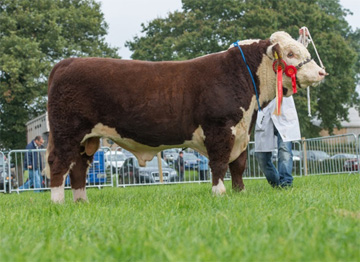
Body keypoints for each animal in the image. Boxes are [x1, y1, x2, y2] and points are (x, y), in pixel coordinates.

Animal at [45, 30, 326, 203]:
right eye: (290, 54)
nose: (321, 72)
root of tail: (67, 62)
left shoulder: (242, 133)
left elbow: (238, 165)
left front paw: (240, 192)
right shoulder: (220, 129)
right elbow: (219, 163)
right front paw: (219, 193)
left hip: (87, 139)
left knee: (79, 168)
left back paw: (81, 201)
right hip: (67, 132)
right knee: (59, 164)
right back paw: (58, 202)